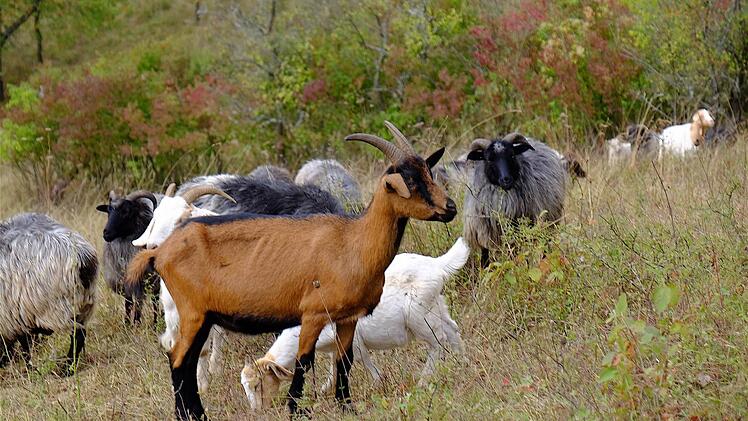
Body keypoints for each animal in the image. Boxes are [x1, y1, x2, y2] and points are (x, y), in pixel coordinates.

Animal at [0, 213, 97, 373]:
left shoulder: (12, 318)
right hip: (83, 302)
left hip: (58, 308)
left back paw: (67, 369)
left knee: (77, 335)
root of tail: (84, 257)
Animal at [95, 190, 161, 325]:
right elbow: (128, 304)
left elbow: (139, 304)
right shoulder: (125, 283)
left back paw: (155, 323)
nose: (106, 233)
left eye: (126, 211)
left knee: (155, 300)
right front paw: (127, 323)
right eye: (108, 211)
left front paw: (136, 323)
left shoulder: (140, 283)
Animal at [241, 237, 469, 411]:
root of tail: (437, 265)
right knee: (452, 328)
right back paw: (461, 362)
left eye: (257, 384)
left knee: (437, 341)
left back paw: (424, 380)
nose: (256, 411)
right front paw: (323, 391)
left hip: (419, 316)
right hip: (437, 306)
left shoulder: (353, 340)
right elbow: (333, 368)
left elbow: (360, 361)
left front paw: (377, 383)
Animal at [463, 133, 566, 267]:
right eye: (489, 159)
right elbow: (485, 258)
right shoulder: (483, 232)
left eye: (512, 155)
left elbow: (515, 256)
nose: (506, 179)